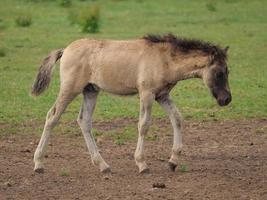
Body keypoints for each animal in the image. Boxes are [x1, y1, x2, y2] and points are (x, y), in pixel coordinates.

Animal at [31, 34, 232, 173]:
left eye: (228, 71)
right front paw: (142, 164)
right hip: (70, 89)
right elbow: (144, 125)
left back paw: (103, 165)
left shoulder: (162, 95)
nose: (227, 99)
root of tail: (65, 49)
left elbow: (177, 119)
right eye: (219, 73)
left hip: (91, 90)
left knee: (84, 121)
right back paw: (39, 163)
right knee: (52, 117)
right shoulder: (147, 94)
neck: (164, 59)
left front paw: (173, 161)